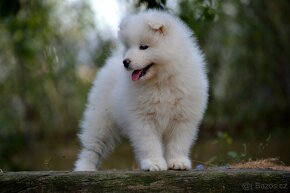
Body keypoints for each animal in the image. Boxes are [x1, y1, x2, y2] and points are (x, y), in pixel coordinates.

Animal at [73, 9, 207, 171]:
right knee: (92, 147)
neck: (161, 80)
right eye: (128, 46)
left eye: (144, 47)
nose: (125, 62)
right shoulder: (143, 118)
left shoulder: (183, 117)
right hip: (100, 118)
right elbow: (149, 143)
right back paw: (84, 167)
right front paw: (154, 163)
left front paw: (177, 162)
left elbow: (178, 142)